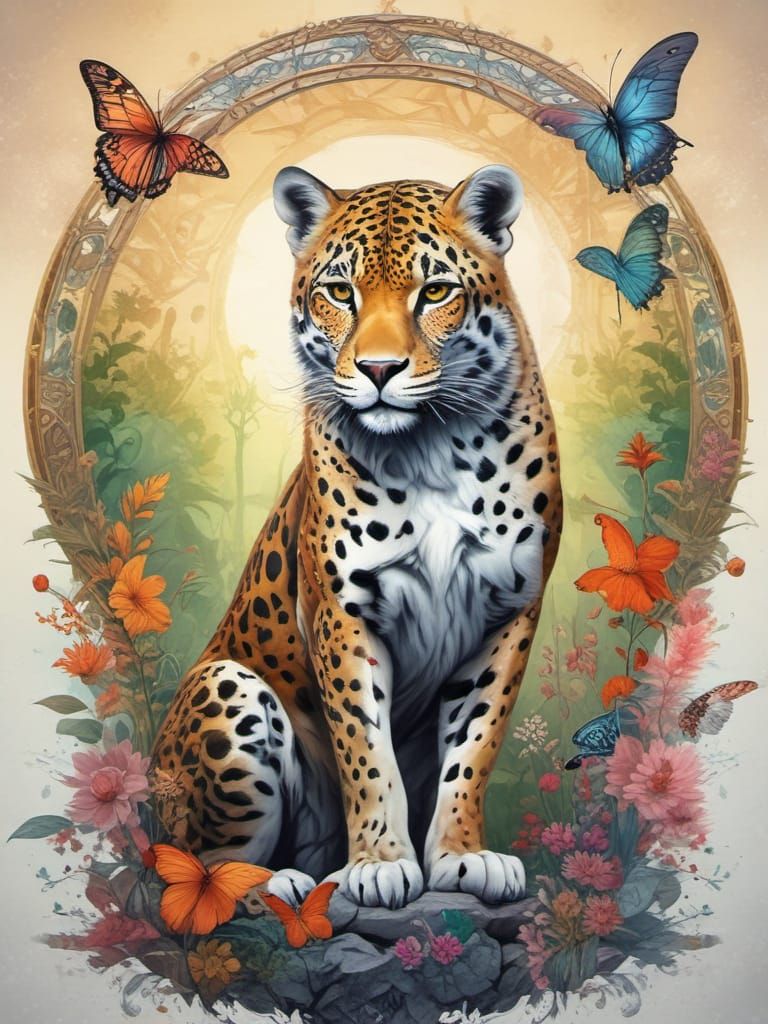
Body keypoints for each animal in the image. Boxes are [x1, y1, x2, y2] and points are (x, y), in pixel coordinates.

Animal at [152, 164, 563, 910]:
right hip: (227, 686)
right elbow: (366, 748)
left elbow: (474, 746)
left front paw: (463, 856)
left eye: (435, 292)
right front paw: (379, 863)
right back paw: (282, 882)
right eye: (340, 292)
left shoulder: (510, 610)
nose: (377, 370)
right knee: (194, 869)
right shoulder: (342, 613)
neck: (432, 452)